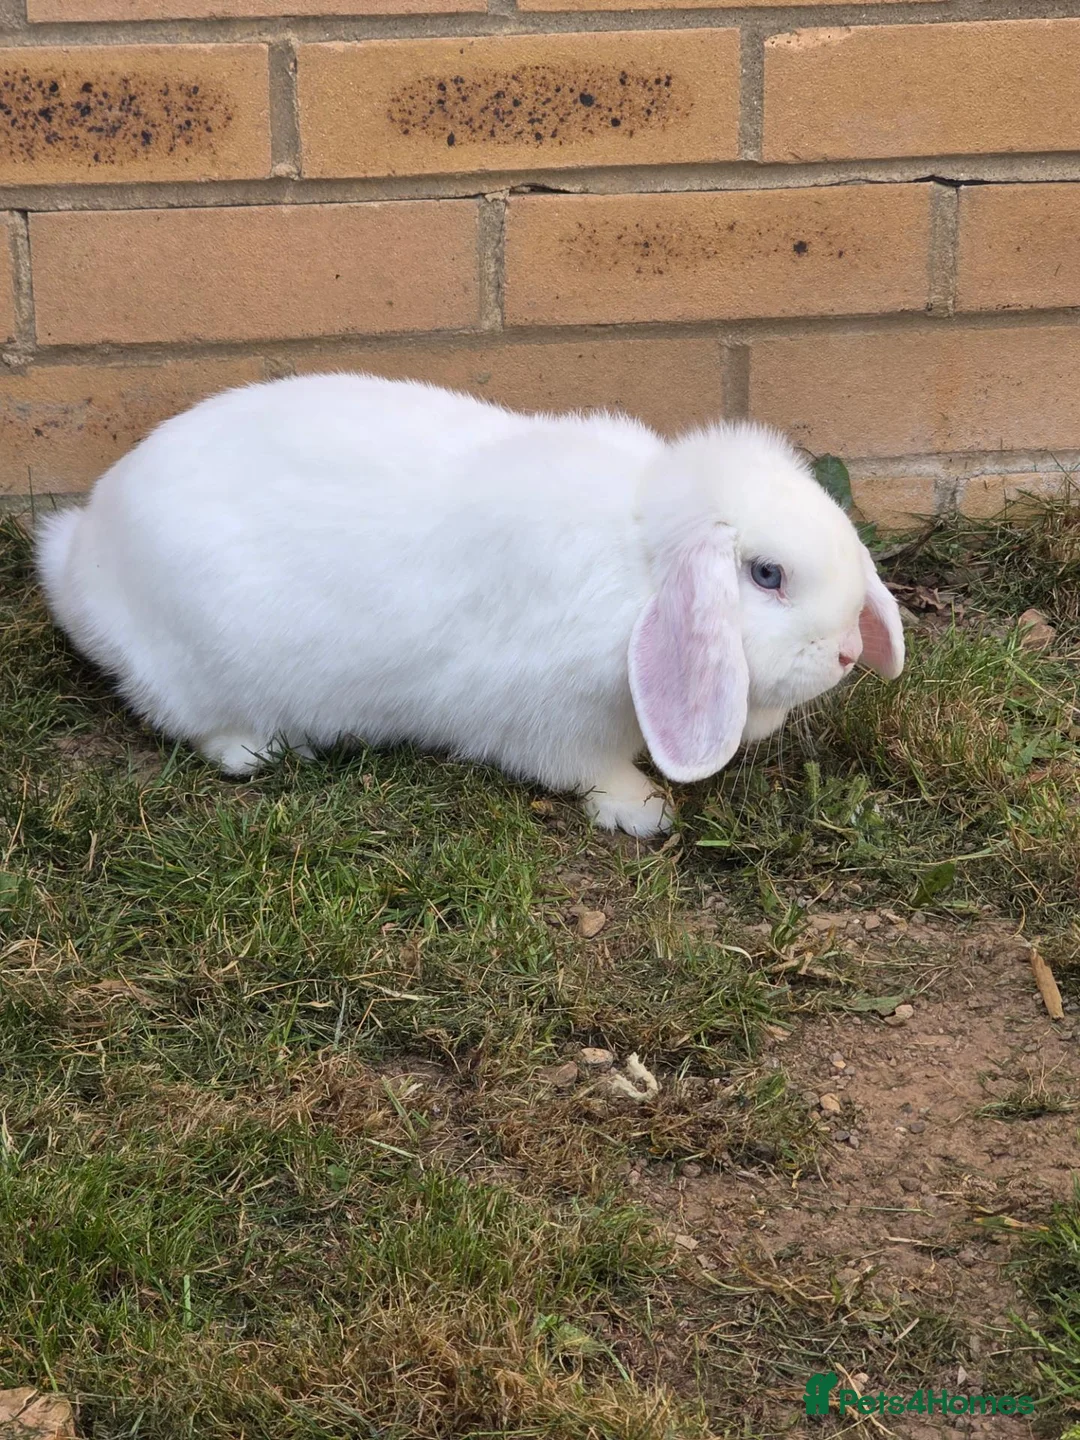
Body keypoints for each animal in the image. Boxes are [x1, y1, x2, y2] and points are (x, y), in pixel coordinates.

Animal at [36, 373, 903, 837]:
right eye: (767, 575)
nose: (847, 654)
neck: (642, 566)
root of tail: (80, 563)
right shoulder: (551, 722)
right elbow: (589, 772)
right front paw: (644, 809)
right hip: (205, 667)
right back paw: (262, 752)